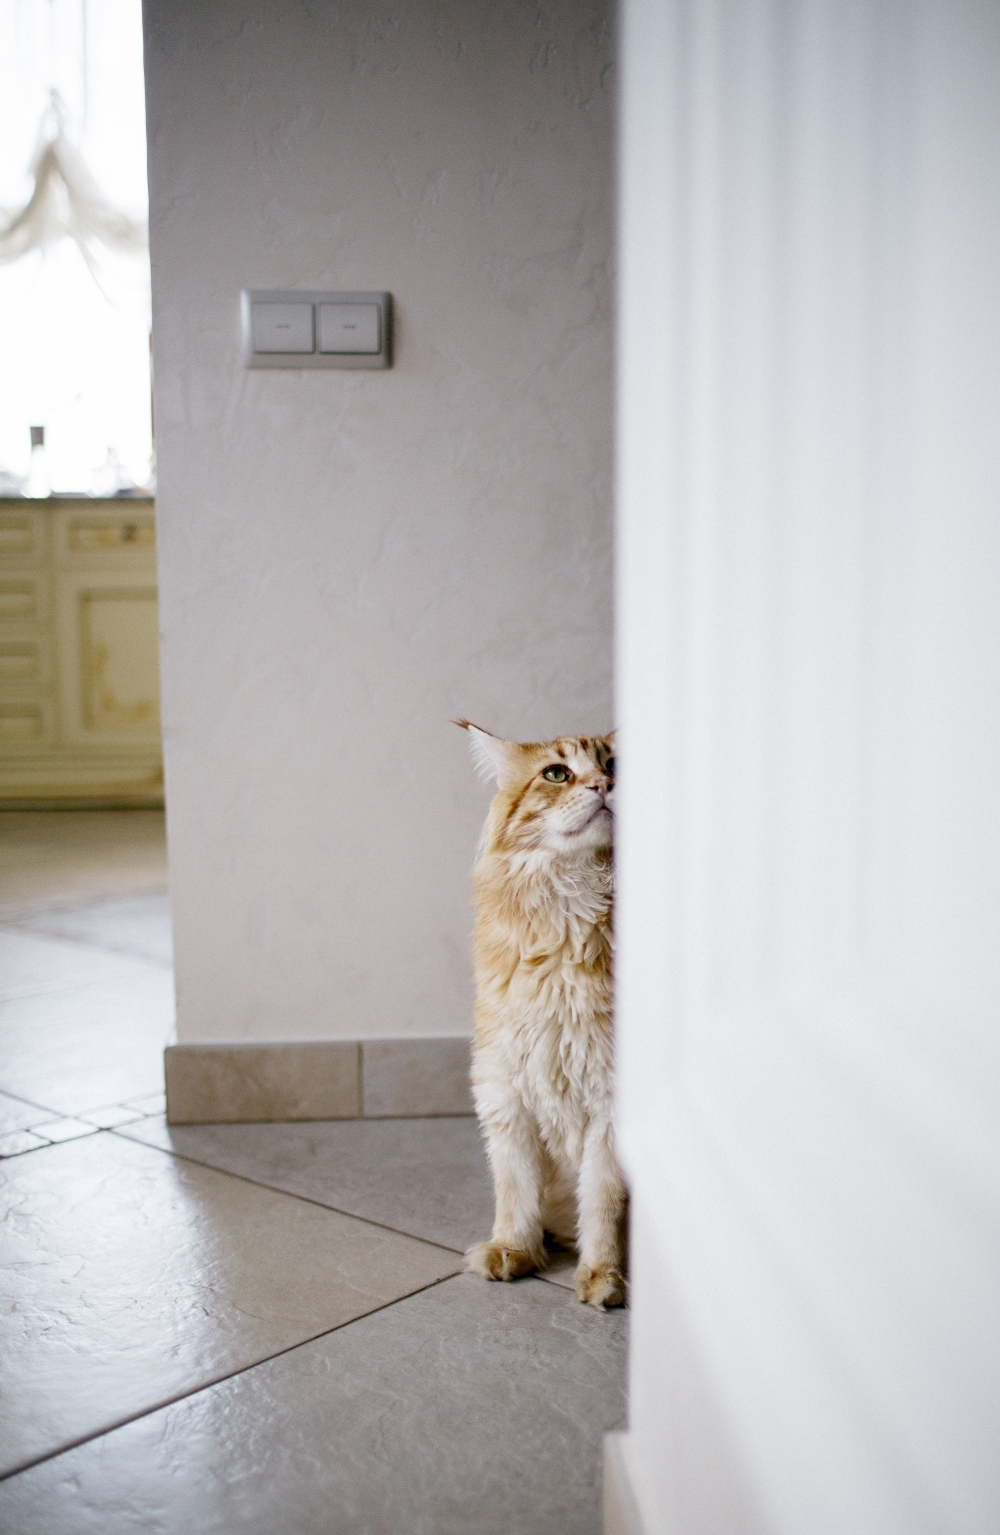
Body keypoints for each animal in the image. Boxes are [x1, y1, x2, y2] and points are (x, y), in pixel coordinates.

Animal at [456, 720, 626, 1309]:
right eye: (557, 773)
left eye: (615, 765)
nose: (604, 785)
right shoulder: (505, 1090)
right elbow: (516, 1188)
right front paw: (515, 1250)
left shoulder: (611, 1105)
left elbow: (602, 1202)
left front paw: (603, 1278)